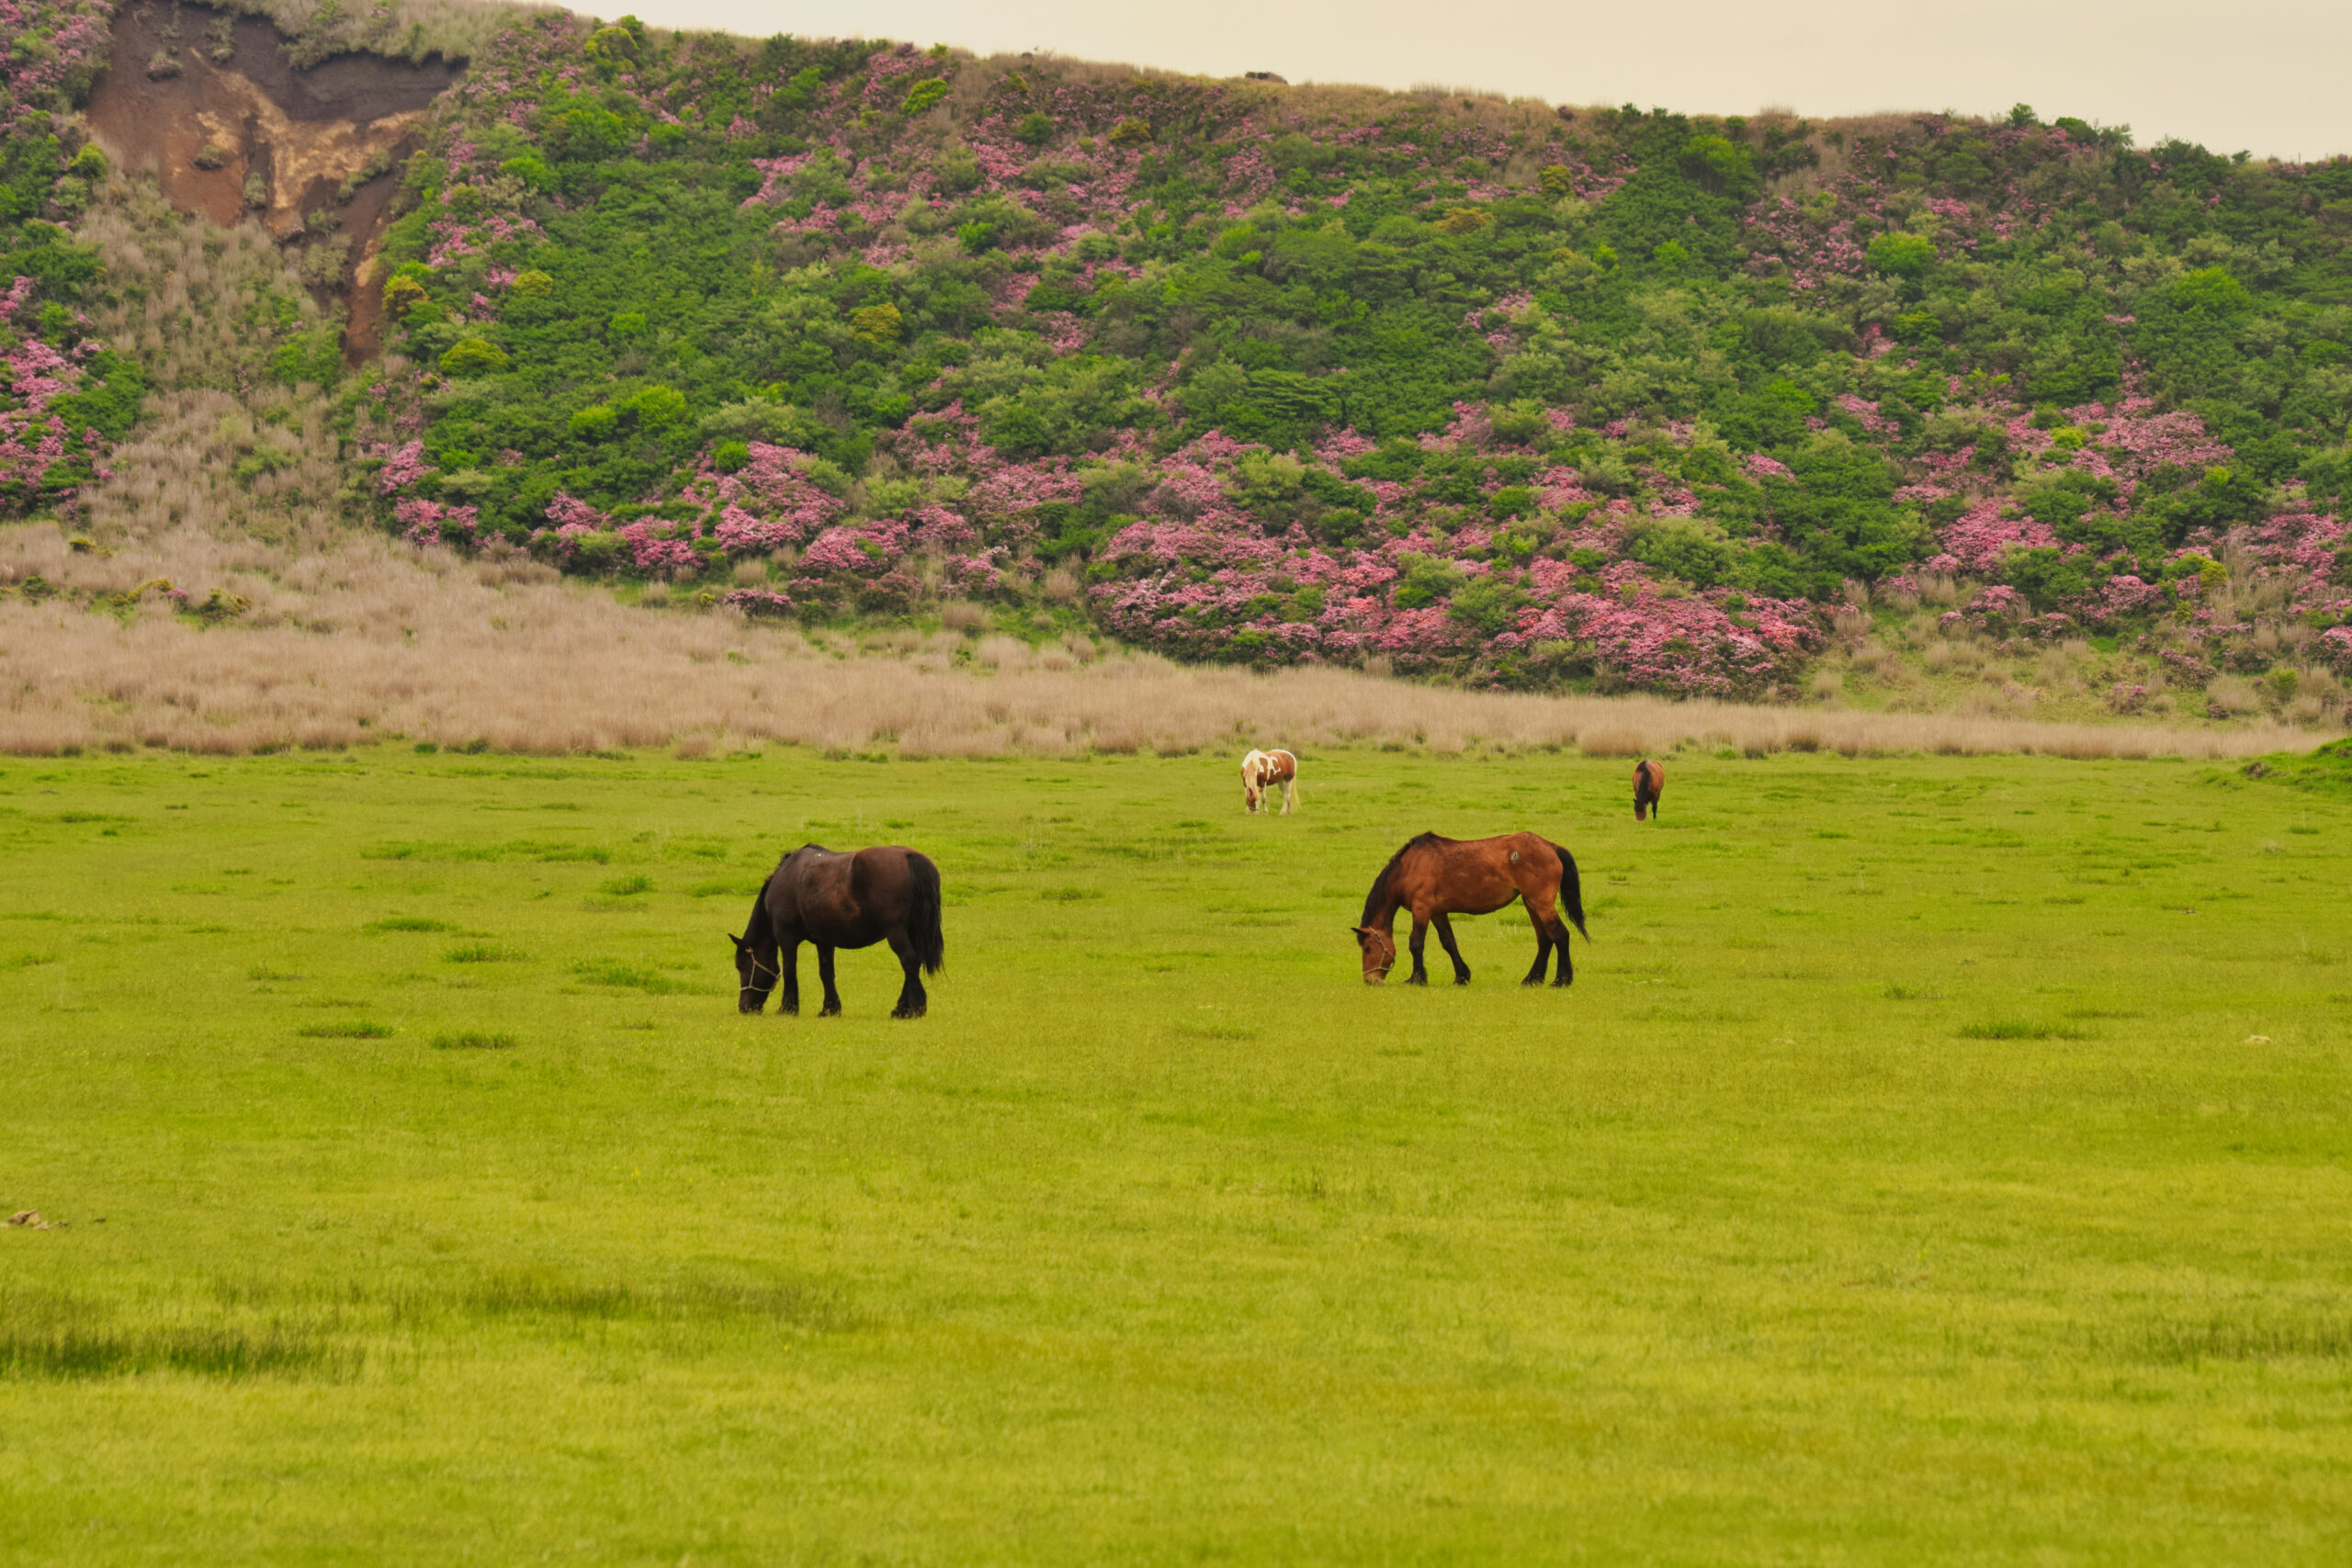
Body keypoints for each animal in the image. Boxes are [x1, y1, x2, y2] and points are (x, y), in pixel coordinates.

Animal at [731, 844, 944, 1018]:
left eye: (740, 965)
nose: (743, 1007)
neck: (788, 876)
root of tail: (909, 856)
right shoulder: (824, 941)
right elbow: (826, 972)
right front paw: (829, 1008)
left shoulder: (786, 937)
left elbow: (790, 970)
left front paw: (788, 1008)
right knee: (912, 964)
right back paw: (902, 1008)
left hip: (896, 932)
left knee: (909, 961)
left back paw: (912, 1009)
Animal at [1351, 831, 1587, 987]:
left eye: (1368, 948)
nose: (1370, 980)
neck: (1409, 867)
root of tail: (1551, 847)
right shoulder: (1437, 912)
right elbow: (1449, 942)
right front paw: (1461, 976)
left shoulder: (1422, 909)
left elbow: (1416, 943)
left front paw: (1416, 978)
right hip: (1531, 903)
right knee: (1545, 939)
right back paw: (1532, 979)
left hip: (1541, 903)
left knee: (1560, 935)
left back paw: (1561, 980)